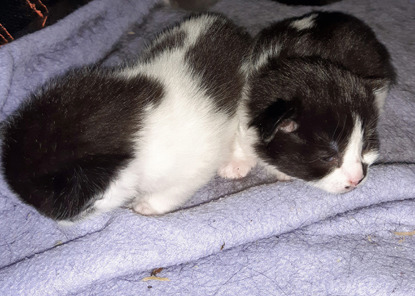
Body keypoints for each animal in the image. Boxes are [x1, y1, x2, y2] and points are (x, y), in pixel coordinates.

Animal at [2, 14, 250, 222]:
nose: (48, 218)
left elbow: (176, 189)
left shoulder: (195, 162)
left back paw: (235, 166)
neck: (132, 110)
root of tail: (226, 24)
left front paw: (146, 206)